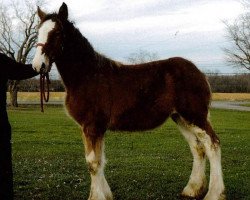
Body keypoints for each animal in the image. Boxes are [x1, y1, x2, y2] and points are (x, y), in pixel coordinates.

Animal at [32, 3, 226, 200]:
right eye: (38, 31)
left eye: (57, 33)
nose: (38, 65)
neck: (87, 75)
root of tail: (200, 73)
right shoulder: (94, 128)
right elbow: (100, 161)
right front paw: (106, 194)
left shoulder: (92, 126)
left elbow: (93, 163)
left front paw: (96, 196)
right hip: (181, 118)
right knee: (198, 148)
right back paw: (192, 190)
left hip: (194, 116)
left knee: (213, 145)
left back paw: (214, 193)